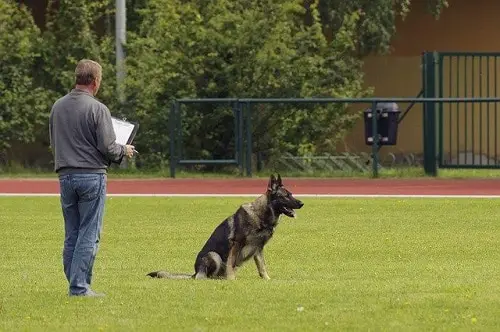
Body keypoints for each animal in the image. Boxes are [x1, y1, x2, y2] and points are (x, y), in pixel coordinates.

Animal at [147, 174, 304, 280]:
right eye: (286, 196)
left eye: (291, 194)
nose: (302, 203)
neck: (261, 216)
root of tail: (195, 273)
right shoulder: (236, 244)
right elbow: (231, 264)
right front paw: (232, 280)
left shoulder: (258, 249)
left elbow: (262, 267)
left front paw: (267, 280)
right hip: (213, 256)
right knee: (205, 277)